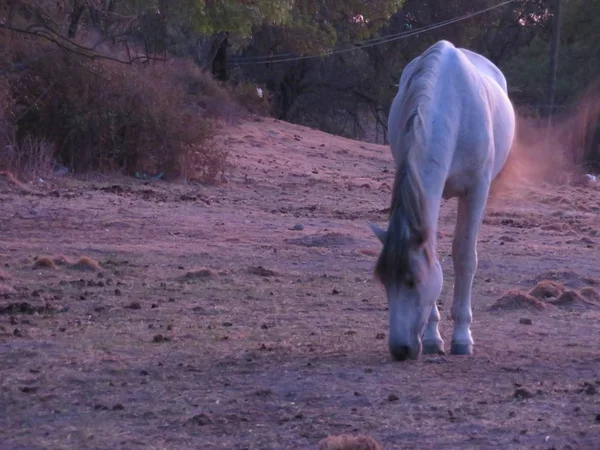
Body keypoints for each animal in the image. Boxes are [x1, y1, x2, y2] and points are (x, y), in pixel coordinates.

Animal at [370, 40, 516, 360]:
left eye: (413, 281)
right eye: (384, 281)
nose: (400, 350)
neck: (451, 105)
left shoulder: (476, 191)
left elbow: (464, 256)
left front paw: (462, 338)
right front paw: (433, 337)